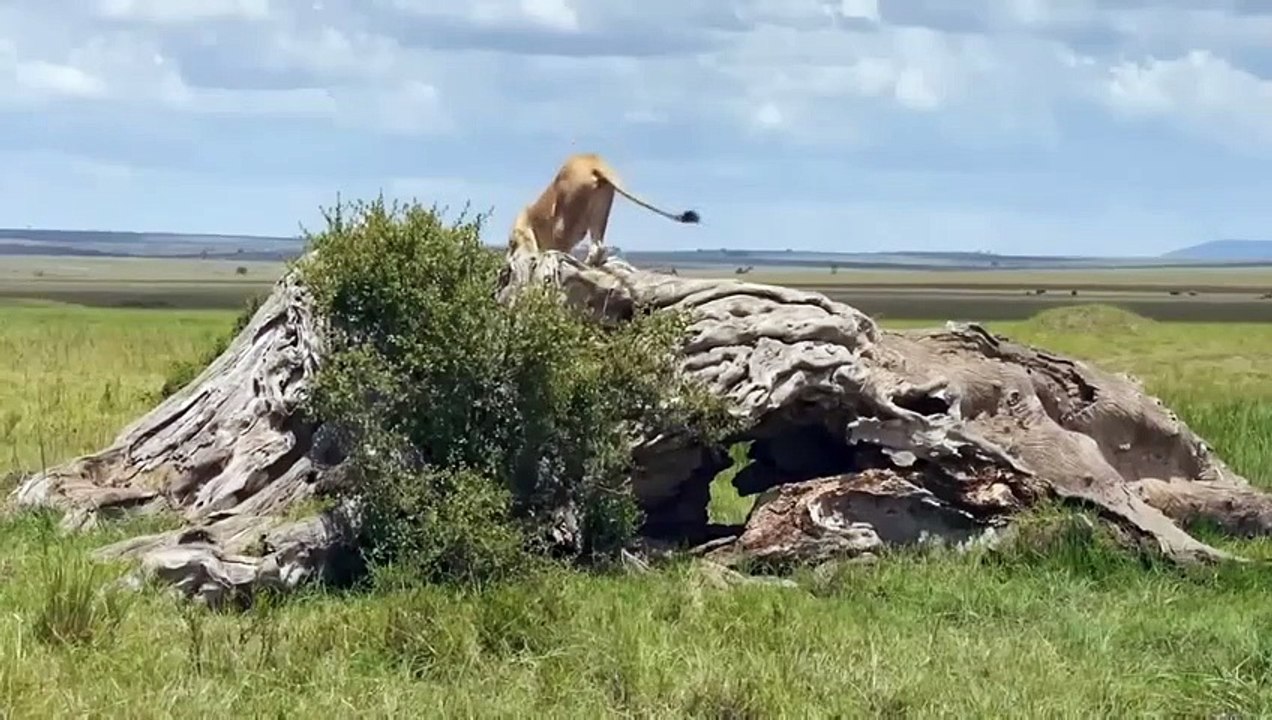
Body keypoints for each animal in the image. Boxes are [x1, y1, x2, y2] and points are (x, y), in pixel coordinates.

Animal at [507, 152, 700, 266]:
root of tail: (596, 162)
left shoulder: (526, 236)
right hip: (599, 211)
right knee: (597, 248)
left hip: (565, 218)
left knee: (564, 249)